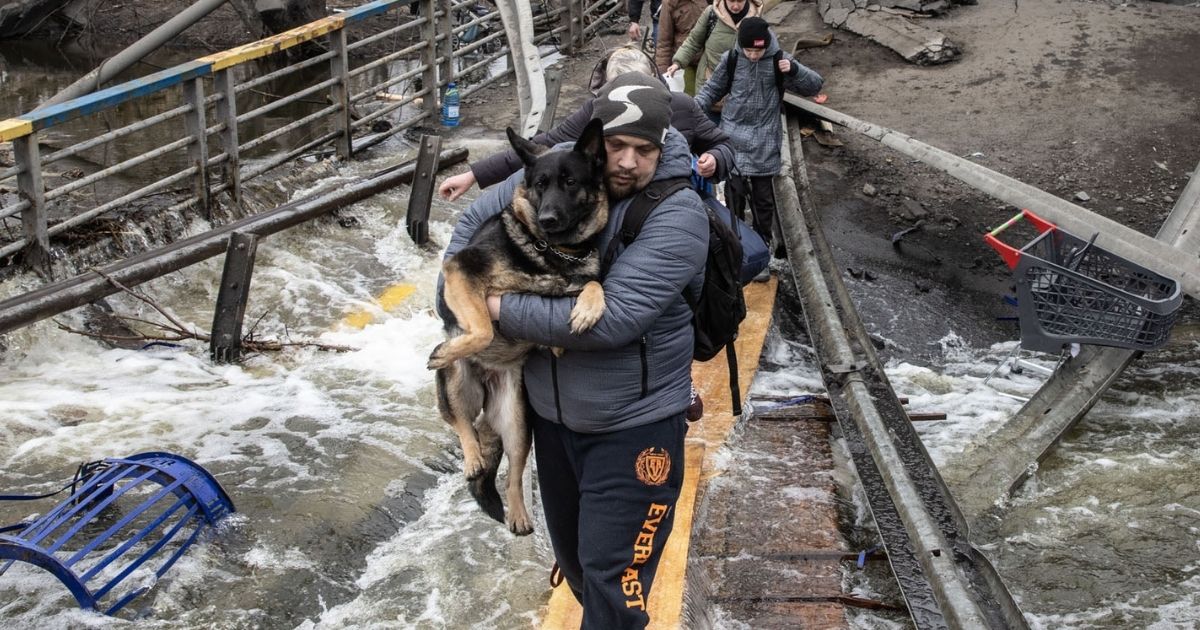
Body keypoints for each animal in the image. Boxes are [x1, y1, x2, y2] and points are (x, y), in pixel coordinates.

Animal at [429, 116, 609, 530]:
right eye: (540, 184)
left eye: (570, 182)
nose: (547, 218)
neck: (552, 249)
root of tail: (488, 380)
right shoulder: (461, 269)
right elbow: (481, 328)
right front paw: (449, 345)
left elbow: (593, 283)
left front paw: (587, 310)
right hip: (456, 384)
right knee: (461, 425)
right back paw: (472, 455)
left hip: (517, 420)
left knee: (512, 466)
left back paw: (519, 514)